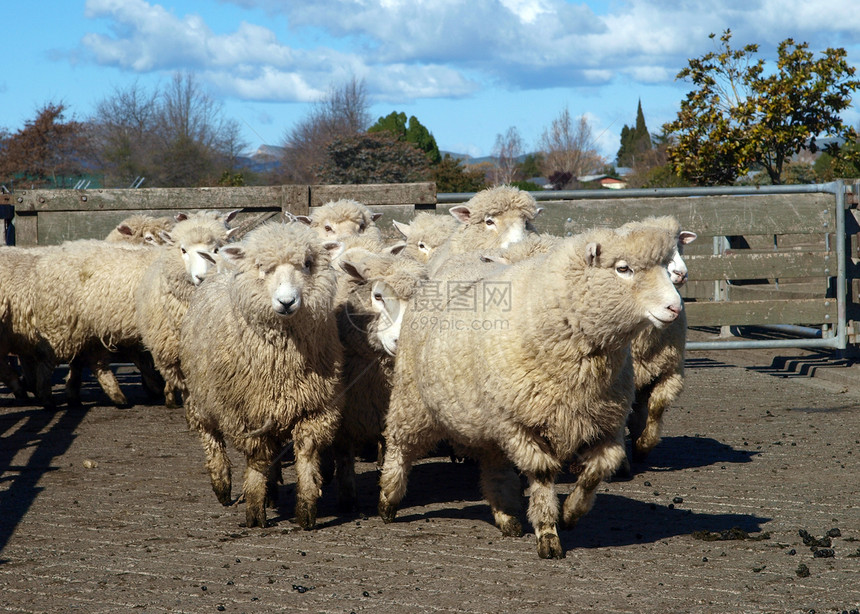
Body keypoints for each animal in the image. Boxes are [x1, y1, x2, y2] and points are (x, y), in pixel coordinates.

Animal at [181, 221, 342, 528]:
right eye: (261, 266)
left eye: (307, 264)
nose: (287, 301)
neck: (281, 362)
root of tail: (222, 271)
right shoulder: (244, 413)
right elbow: (256, 458)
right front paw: (255, 511)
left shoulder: (314, 408)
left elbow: (306, 453)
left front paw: (306, 509)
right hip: (202, 394)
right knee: (210, 435)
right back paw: (221, 483)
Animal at [380, 224, 680, 560]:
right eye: (623, 268)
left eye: (665, 267)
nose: (674, 307)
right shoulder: (522, 424)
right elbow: (542, 474)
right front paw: (548, 533)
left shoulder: (605, 423)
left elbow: (598, 470)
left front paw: (571, 512)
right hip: (413, 401)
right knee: (399, 447)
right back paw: (388, 500)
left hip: (490, 421)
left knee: (494, 466)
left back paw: (506, 516)